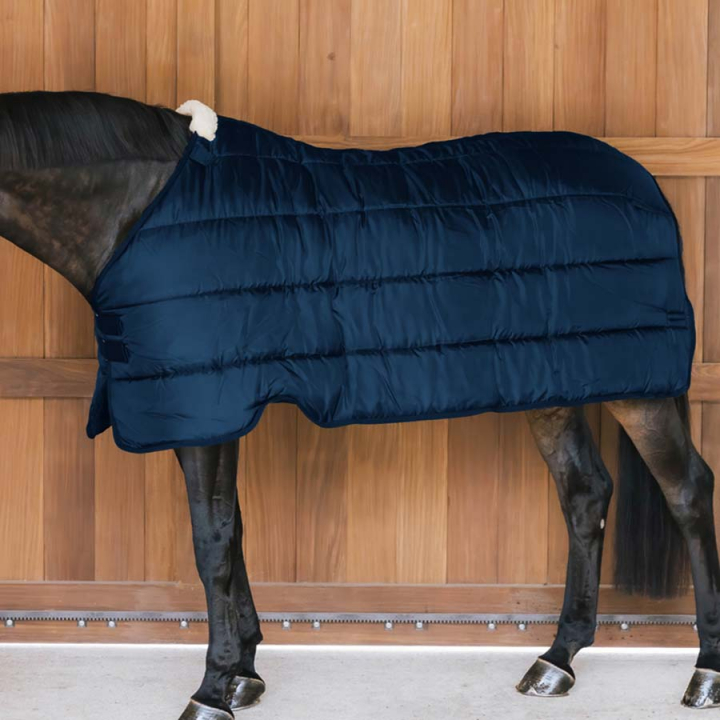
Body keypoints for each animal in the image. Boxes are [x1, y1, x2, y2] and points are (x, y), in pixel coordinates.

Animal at [0, 90, 718, 719]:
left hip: (638, 391)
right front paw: (245, 673)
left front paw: (212, 690)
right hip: (553, 383)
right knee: (585, 495)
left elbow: (211, 544)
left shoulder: (208, 410)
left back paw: (703, 673)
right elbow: (234, 531)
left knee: (687, 491)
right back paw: (556, 660)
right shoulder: (208, 410)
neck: (140, 208)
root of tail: (643, 180)